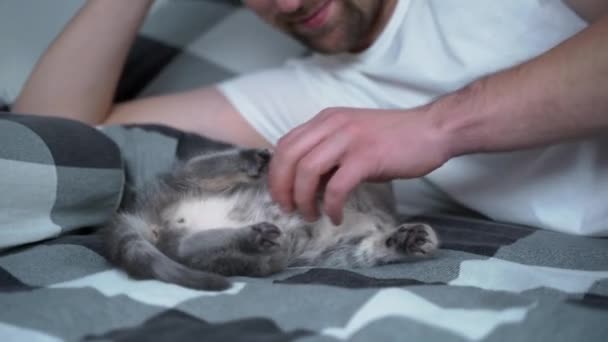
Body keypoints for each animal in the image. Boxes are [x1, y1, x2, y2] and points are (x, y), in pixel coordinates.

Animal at [103, 148, 436, 290]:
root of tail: (145, 214)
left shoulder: (345, 250)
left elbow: (370, 249)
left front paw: (406, 239)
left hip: (259, 260)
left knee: (184, 248)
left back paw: (251, 236)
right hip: (186, 178)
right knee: (202, 167)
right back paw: (251, 160)